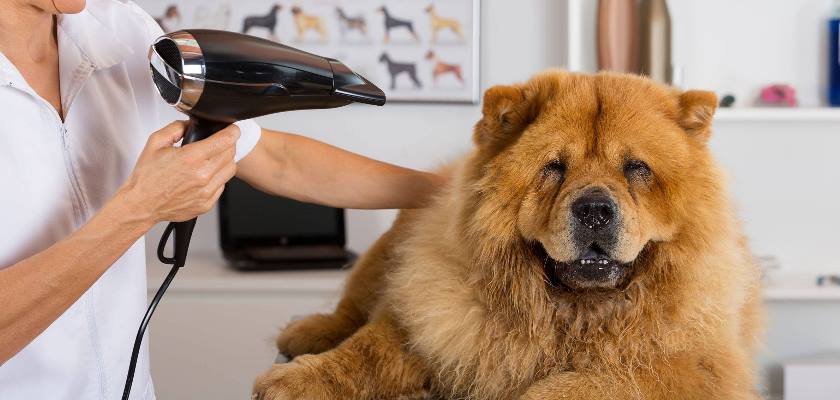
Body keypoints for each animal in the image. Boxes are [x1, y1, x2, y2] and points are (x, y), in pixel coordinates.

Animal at [253, 71, 764, 400]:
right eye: (554, 168)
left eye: (636, 168)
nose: (595, 209)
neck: (571, 313)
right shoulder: (430, 325)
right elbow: (364, 350)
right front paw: (289, 382)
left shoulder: (693, 366)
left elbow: (591, 382)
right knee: (353, 307)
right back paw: (307, 332)